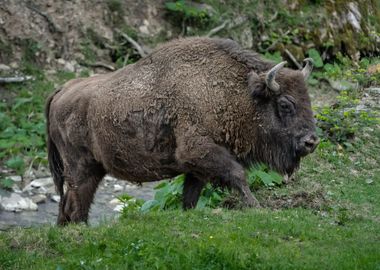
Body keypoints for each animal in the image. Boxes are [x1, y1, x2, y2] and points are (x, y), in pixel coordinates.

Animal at [44, 37, 320, 225]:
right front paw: (256, 206)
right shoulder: (198, 152)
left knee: (69, 205)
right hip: (81, 169)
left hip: (92, 169)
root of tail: (62, 90)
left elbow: (191, 196)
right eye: (285, 104)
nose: (311, 142)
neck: (233, 93)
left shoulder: (196, 168)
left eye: (308, 99)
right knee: (76, 205)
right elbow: (238, 175)